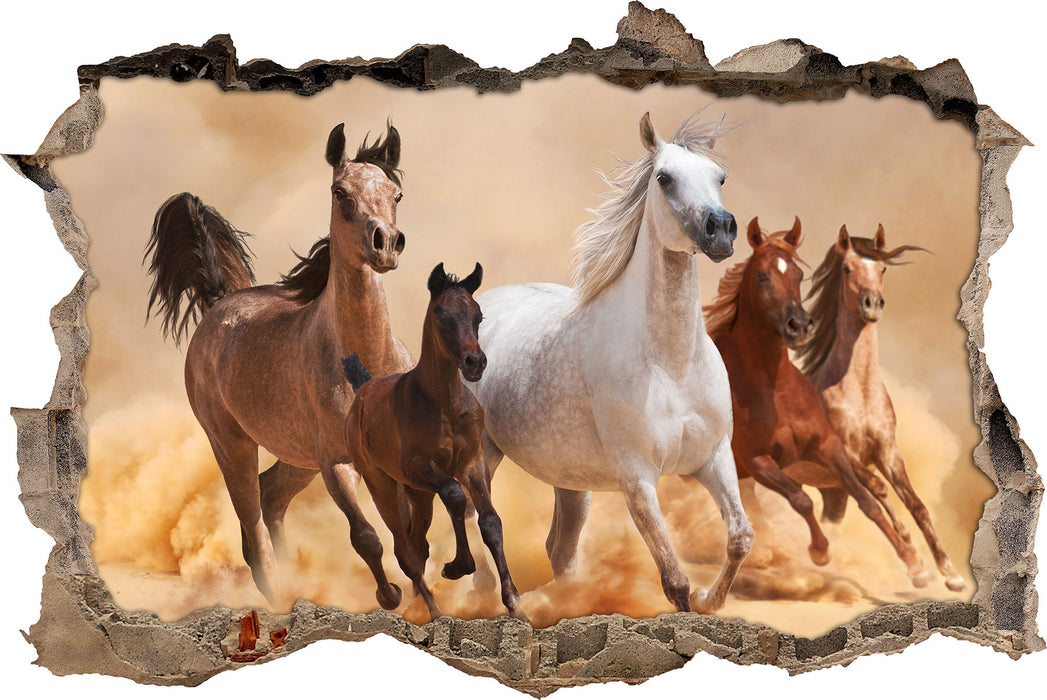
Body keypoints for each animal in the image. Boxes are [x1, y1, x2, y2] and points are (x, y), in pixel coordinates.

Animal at [144, 122, 411, 609]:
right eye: (340, 192)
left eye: (395, 193)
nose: (385, 244)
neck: (365, 360)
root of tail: (221, 303)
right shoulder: (337, 464)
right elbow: (367, 537)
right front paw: (390, 596)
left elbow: (410, 530)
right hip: (233, 444)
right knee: (253, 522)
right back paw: (280, 596)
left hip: (298, 459)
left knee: (271, 498)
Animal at [341, 263, 527, 622]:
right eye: (442, 315)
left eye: (478, 315)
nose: (475, 362)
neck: (445, 405)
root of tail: (363, 388)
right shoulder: (420, 466)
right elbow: (454, 494)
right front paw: (458, 567)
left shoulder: (473, 461)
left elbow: (490, 522)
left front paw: (514, 603)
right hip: (383, 483)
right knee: (404, 548)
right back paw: (428, 608)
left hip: (418, 493)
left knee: (418, 543)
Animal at [468, 111, 753, 614]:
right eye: (664, 177)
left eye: (720, 177)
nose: (720, 228)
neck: (671, 366)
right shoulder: (637, 478)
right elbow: (674, 581)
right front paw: (695, 601)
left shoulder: (714, 458)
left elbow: (740, 538)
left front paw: (711, 600)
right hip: (483, 453)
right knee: (476, 521)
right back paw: (500, 600)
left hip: (569, 480)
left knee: (559, 551)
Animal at [704, 217, 931, 587]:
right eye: (761, 275)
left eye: (799, 275)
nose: (799, 326)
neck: (774, 389)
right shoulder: (759, 461)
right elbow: (802, 500)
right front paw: (820, 551)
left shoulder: (831, 447)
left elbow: (870, 499)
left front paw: (916, 563)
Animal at [797, 224, 965, 591]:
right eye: (847, 268)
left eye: (883, 268)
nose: (872, 304)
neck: (858, 392)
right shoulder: (845, 455)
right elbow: (878, 489)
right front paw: (916, 564)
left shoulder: (888, 451)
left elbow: (917, 505)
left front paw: (950, 573)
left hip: (832, 492)